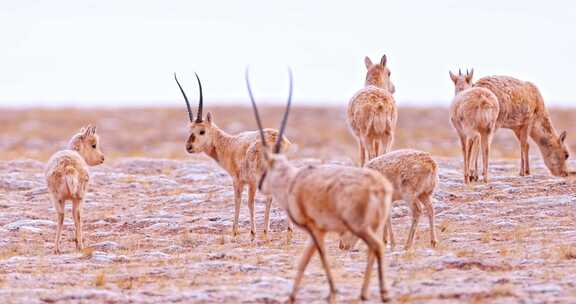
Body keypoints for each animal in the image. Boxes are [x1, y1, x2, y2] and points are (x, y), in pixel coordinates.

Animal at [45, 124, 105, 253]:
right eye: (94, 145)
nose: (102, 158)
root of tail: (69, 167)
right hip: (78, 197)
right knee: (77, 215)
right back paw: (80, 245)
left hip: (58, 197)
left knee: (61, 216)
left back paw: (57, 248)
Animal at [173, 72, 292, 239]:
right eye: (189, 129)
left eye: (202, 131)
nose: (188, 147)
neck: (230, 144)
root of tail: (276, 139)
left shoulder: (239, 180)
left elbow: (238, 200)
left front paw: (235, 231)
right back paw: (281, 230)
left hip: (257, 179)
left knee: (254, 201)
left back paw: (256, 231)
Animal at [248, 70, 396, 302]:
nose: (262, 186)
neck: (293, 181)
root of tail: (379, 187)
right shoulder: (318, 231)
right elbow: (305, 260)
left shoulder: (315, 229)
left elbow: (318, 256)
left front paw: (329, 292)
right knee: (374, 248)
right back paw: (365, 292)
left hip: (359, 226)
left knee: (377, 246)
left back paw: (379, 293)